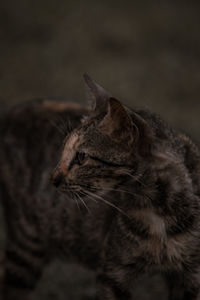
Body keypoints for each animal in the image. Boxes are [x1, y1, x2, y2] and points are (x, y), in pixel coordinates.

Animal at [0, 74, 200, 298]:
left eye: (81, 156)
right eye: (63, 151)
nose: (52, 179)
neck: (157, 208)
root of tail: (10, 111)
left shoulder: (191, 275)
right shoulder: (113, 273)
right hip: (26, 244)